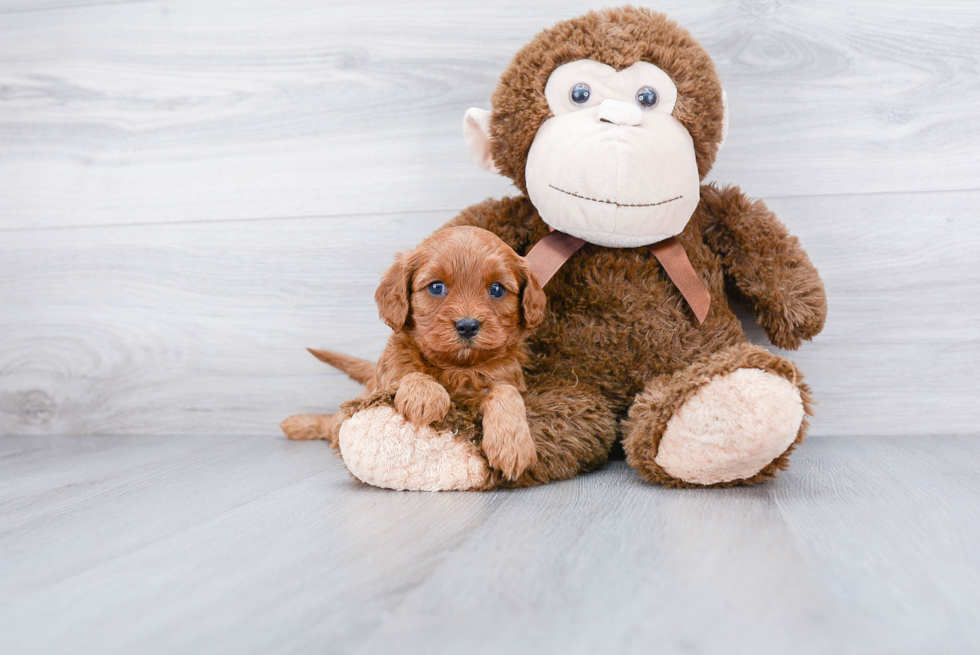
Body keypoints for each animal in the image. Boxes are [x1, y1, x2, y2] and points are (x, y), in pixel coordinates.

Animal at [280, 226, 548, 482]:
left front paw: (512, 445)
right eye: (436, 287)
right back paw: (297, 424)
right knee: (332, 424)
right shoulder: (388, 375)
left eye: (497, 289)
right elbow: (408, 373)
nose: (468, 326)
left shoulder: (506, 379)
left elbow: (506, 392)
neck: (456, 366)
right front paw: (424, 395)